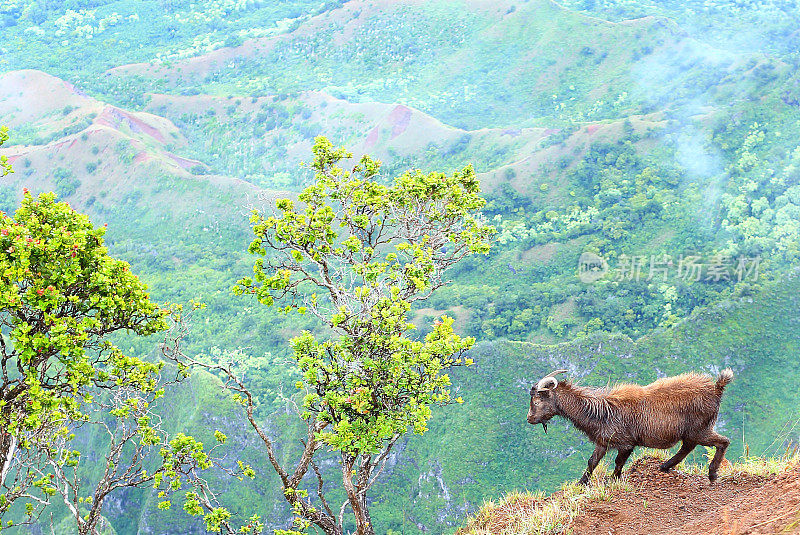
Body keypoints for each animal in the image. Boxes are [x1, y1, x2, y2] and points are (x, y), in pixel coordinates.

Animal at [528, 368, 736, 486]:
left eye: (537, 401)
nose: (530, 418)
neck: (602, 412)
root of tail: (716, 389)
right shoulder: (603, 442)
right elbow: (592, 461)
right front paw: (581, 483)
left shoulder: (626, 443)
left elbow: (618, 462)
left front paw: (613, 479)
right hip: (693, 432)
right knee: (688, 447)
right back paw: (665, 466)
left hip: (700, 429)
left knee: (722, 442)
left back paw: (712, 474)